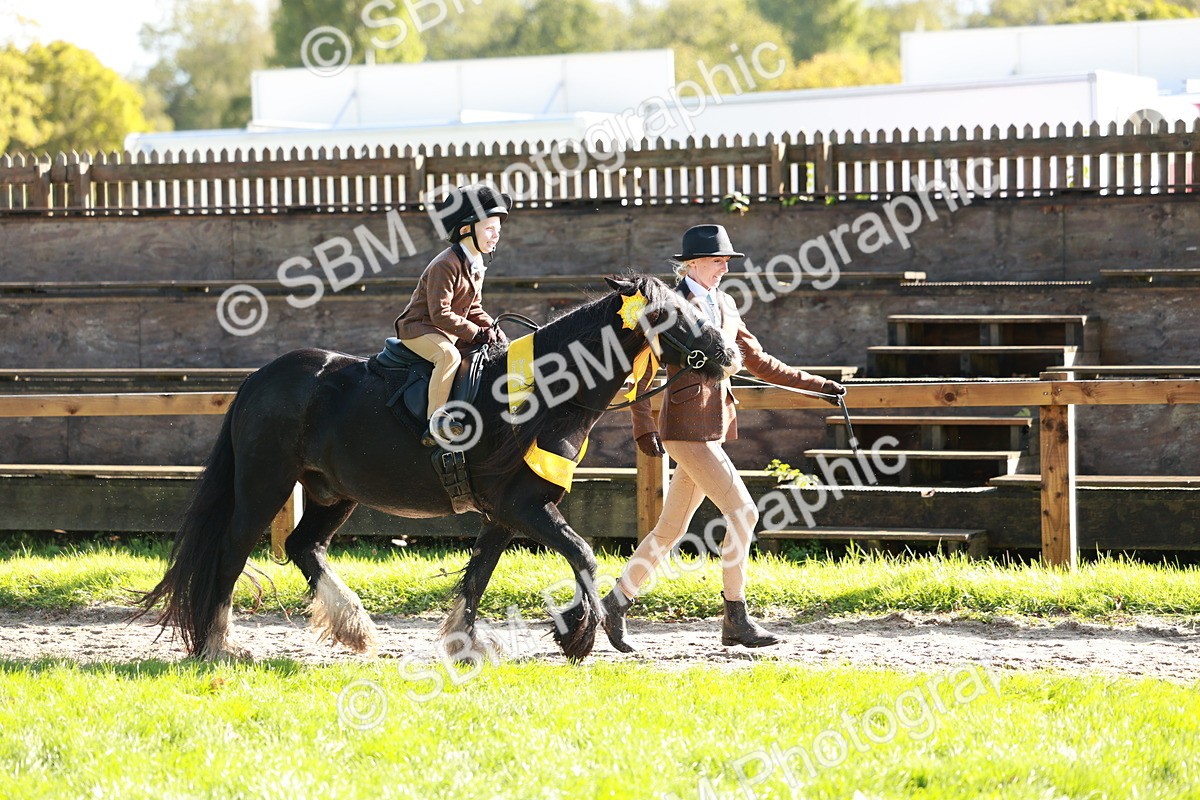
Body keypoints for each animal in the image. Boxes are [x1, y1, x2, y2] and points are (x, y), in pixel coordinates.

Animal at [135, 274, 739, 662]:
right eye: (668, 313)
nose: (728, 353)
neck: (543, 395)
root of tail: (260, 379)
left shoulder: (506, 513)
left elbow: (478, 575)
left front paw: (465, 644)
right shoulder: (525, 507)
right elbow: (583, 555)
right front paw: (581, 636)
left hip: (332, 492)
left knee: (304, 547)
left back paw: (354, 628)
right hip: (264, 485)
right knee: (232, 552)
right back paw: (218, 644)